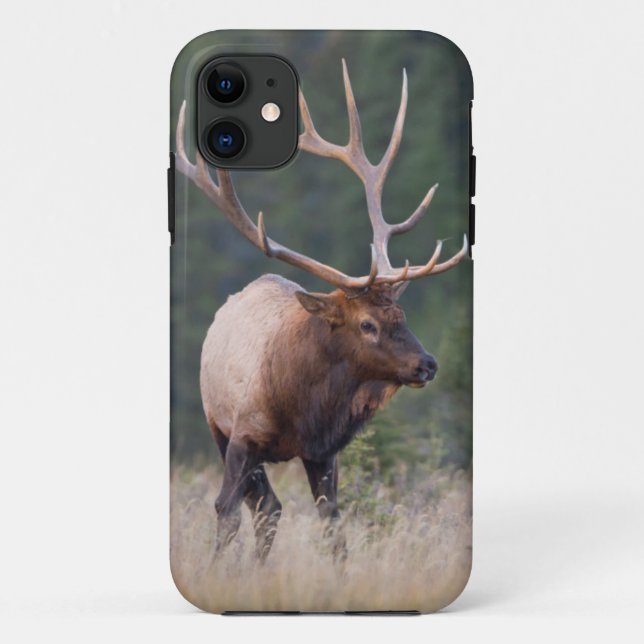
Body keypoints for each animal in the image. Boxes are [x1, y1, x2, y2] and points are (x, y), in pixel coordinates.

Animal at [174, 60, 468, 560]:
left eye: (402, 317)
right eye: (367, 323)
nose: (427, 364)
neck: (302, 407)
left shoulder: (323, 452)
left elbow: (334, 527)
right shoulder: (242, 435)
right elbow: (224, 511)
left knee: (270, 509)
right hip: (218, 425)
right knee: (261, 507)